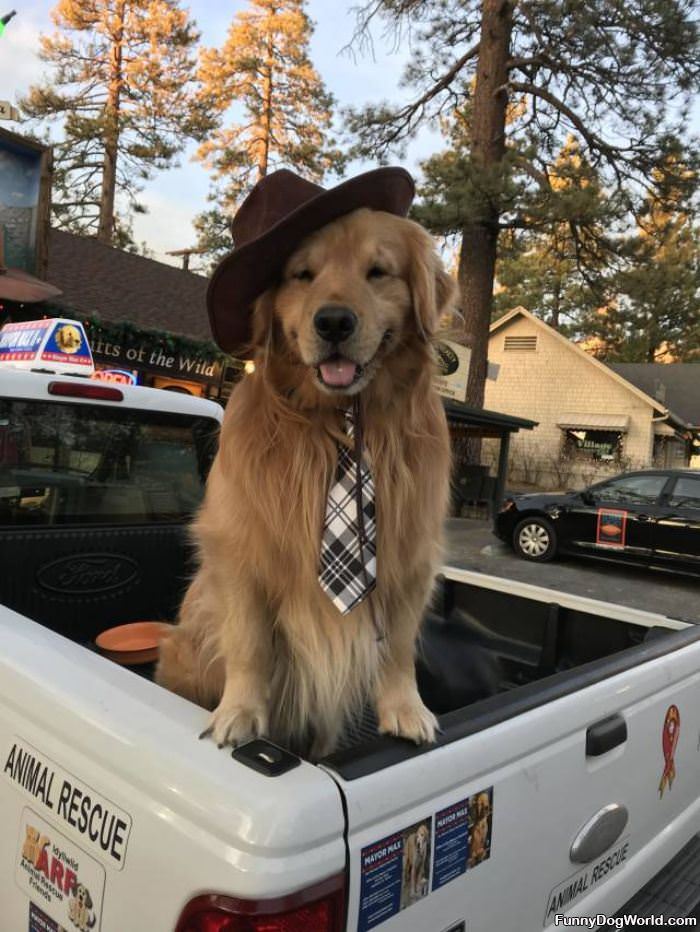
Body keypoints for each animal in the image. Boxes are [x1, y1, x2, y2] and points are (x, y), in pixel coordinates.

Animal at [156, 208, 454, 760]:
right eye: (302, 274)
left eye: (377, 272)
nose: (334, 321)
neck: (338, 422)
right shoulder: (241, 550)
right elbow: (249, 643)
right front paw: (239, 713)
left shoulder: (411, 557)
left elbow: (399, 646)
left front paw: (405, 709)